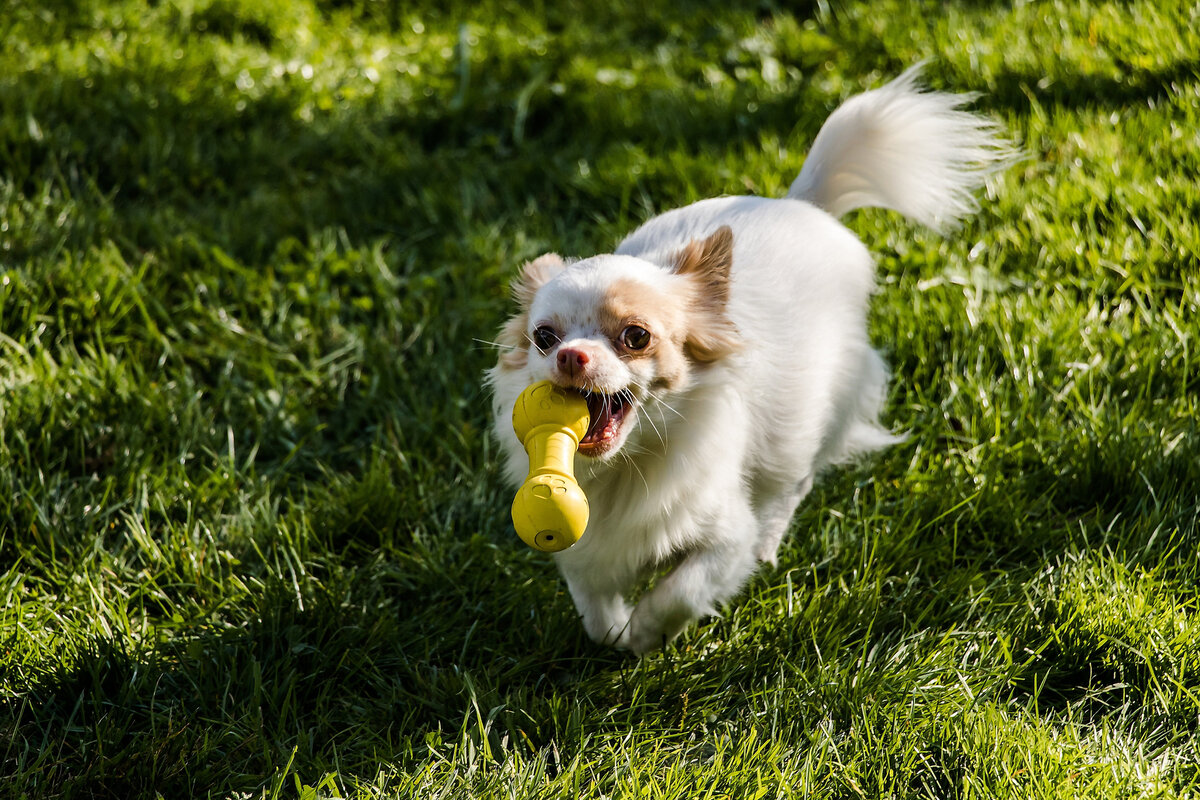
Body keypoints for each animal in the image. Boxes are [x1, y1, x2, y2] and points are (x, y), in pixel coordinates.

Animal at [487, 67, 1012, 657]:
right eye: (544, 337)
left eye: (636, 336)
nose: (571, 356)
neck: (627, 466)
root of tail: (801, 203)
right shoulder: (586, 548)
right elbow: (595, 610)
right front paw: (619, 633)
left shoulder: (722, 538)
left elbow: (681, 590)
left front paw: (647, 634)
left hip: (808, 424)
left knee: (791, 486)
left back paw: (768, 542)